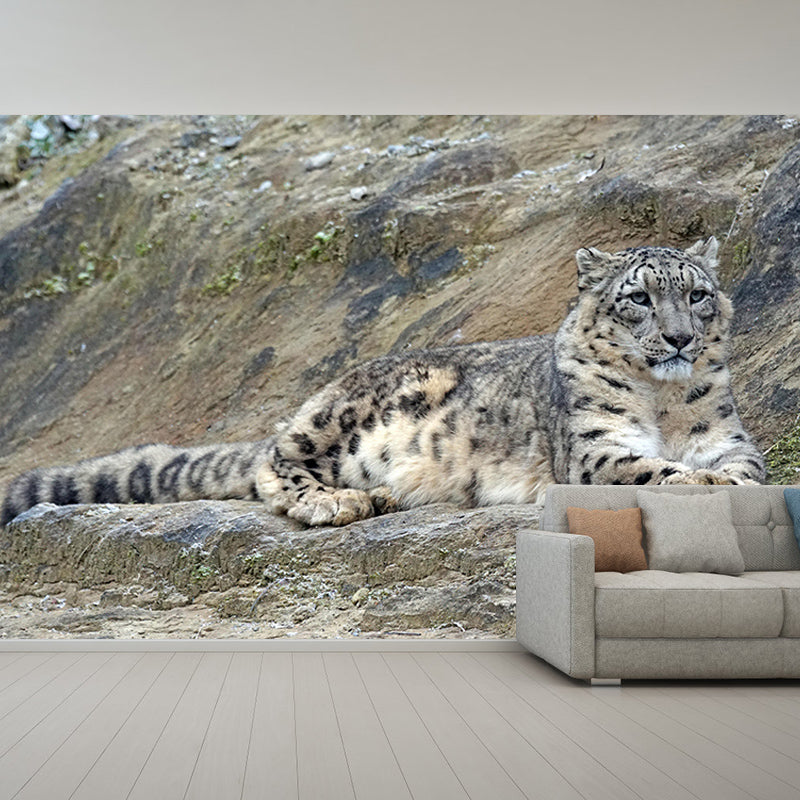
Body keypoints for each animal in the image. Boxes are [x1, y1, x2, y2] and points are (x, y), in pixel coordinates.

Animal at [1, 236, 766, 528]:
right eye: (638, 298)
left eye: (697, 294)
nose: (680, 338)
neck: (663, 403)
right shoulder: (593, 448)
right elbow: (651, 469)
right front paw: (695, 481)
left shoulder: (728, 435)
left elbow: (744, 468)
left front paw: (720, 479)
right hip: (345, 415)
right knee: (275, 460)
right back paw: (337, 502)